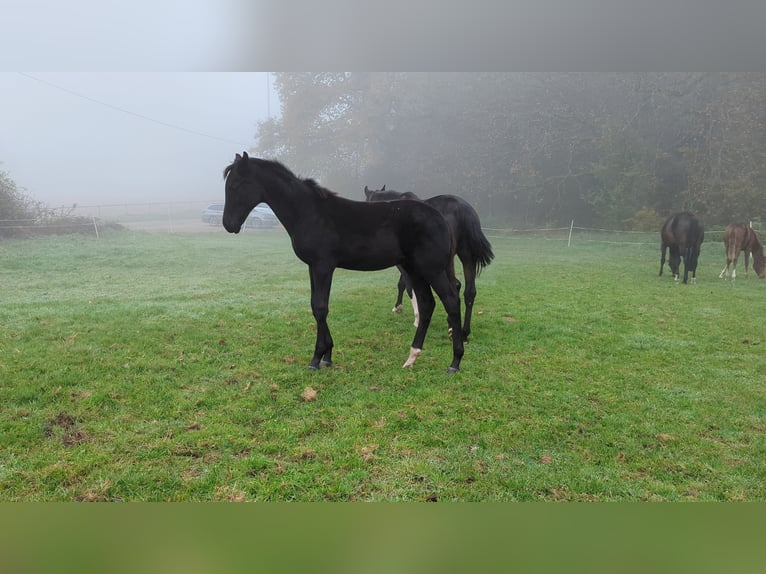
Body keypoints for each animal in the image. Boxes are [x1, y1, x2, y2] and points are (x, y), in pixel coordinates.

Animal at [219, 154, 464, 374]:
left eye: (236, 185)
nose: (229, 225)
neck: (310, 212)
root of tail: (440, 217)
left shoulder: (323, 266)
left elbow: (320, 307)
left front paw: (317, 358)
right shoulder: (313, 267)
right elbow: (316, 306)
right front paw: (327, 356)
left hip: (431, 269)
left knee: (451, 301)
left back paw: (455, 362)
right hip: (415, 270)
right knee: (427, 304)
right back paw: (412, 357)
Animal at [364, 187, 496, 344]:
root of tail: (463, 209)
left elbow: (408, 287)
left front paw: (414, 316)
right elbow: (403, 284)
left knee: (454, 286)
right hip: (466, 256)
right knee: (469, 292)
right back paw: (463, 332)